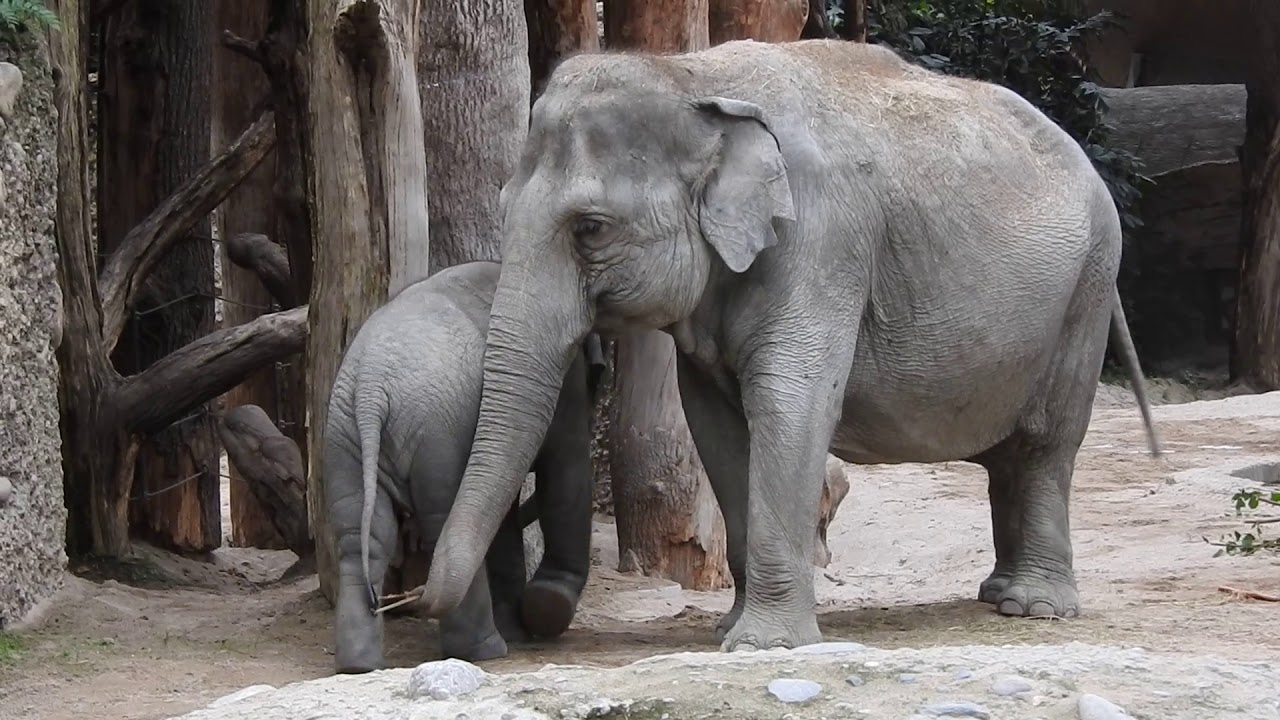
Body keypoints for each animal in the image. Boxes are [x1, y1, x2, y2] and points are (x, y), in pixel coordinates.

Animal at [322, 260, 593, 673]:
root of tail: (371, 385)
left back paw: (360, 666)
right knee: (440, 522)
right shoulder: (567, 381)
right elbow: (567, 463)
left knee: (361, 539)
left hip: (344, 438)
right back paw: (485, 650)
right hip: (437, 435)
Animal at [415, 38, 1162, 653]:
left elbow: (790, 402)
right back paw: (997, 596)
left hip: (1088, 289)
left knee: (1045, 445)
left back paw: (1033, 609)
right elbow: (716, 426)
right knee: (1010, 460)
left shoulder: (822, 239)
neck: (691, 76)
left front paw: (762, 645)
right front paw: (728, 629)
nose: (416, 603)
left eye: (591, 228)